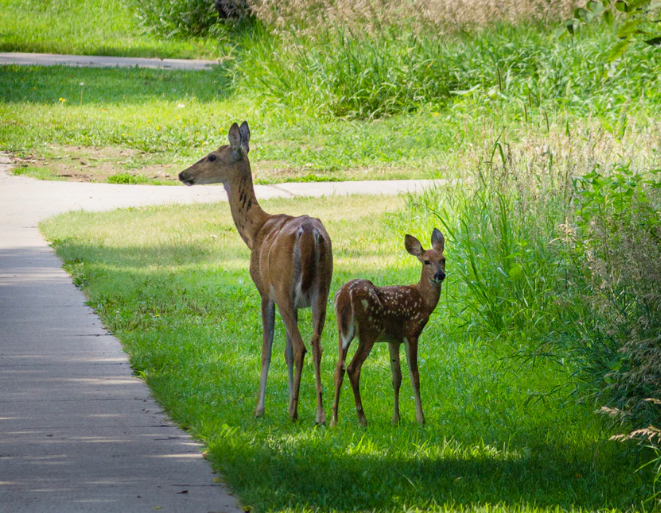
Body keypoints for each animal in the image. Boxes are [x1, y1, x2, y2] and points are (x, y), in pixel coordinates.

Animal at [178, 122, 332, 422]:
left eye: (212, 156)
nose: (183, 174)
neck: (256, 230)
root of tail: (309, 233)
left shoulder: (264, 291)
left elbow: (267, 350)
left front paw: (260, 408)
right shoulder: (298, 301)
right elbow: (284, 351)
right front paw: (288, 400)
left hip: (283, 288)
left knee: (301, 345)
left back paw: (294, 413)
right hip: (323, 290)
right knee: (316, 344)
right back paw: (319, 415)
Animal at [328, 229, 444, 428]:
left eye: (443, 259)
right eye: (426, 261)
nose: (440, 275)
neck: (423, 299)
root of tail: (344, 296)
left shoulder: (392, 339)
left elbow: (396, 378)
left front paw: (395, 419)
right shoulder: (411, 332)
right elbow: (414, 376)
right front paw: (420, 419)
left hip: (342, 332)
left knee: (339, 367)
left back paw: (333, 420)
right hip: (369, 330)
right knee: (353, 367)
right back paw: (362, 419)